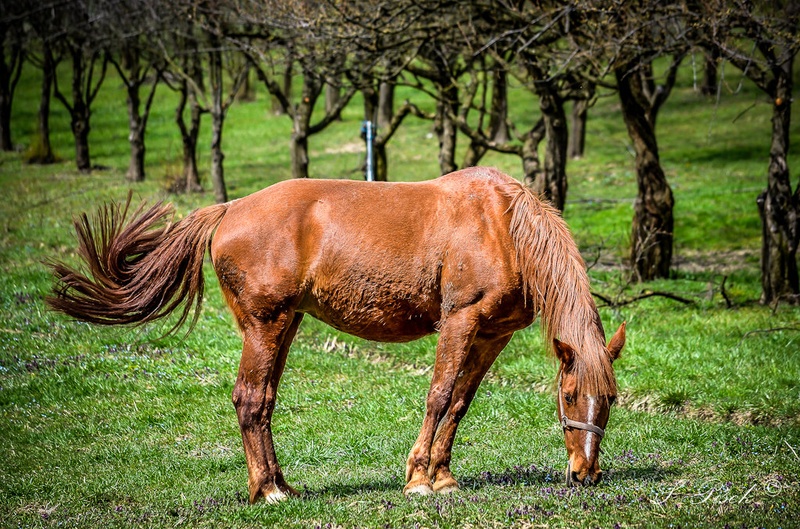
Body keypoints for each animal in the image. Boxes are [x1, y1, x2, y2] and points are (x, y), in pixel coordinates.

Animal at [48, 167, 625, 503]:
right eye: (569, 395)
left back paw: (281, 484)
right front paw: (419, 479)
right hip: (265, 325)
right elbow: (439, 395)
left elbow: (460, 402)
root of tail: (229, 209)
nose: (585, 474)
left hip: (285, 324)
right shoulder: (460, 321)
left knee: (264, 401)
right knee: (249, 398)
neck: (502, 225)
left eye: (612, 399)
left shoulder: (491, 335)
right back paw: (267, 491)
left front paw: (443, 476)